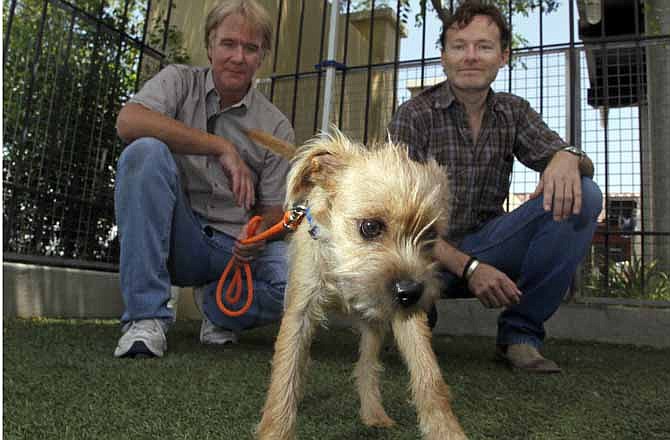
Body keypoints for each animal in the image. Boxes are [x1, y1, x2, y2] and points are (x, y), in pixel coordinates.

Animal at [252, 129, 468, 438]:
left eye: (430, 237)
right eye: (370, 227)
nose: (411, 292)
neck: (342, 265)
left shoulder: (406, 315)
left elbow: (429, 374)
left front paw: (447, 430)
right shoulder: (299, 312)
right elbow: (285, 373)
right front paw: (276, 430)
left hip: (374, 324)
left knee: (367, 365)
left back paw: (374, 413)